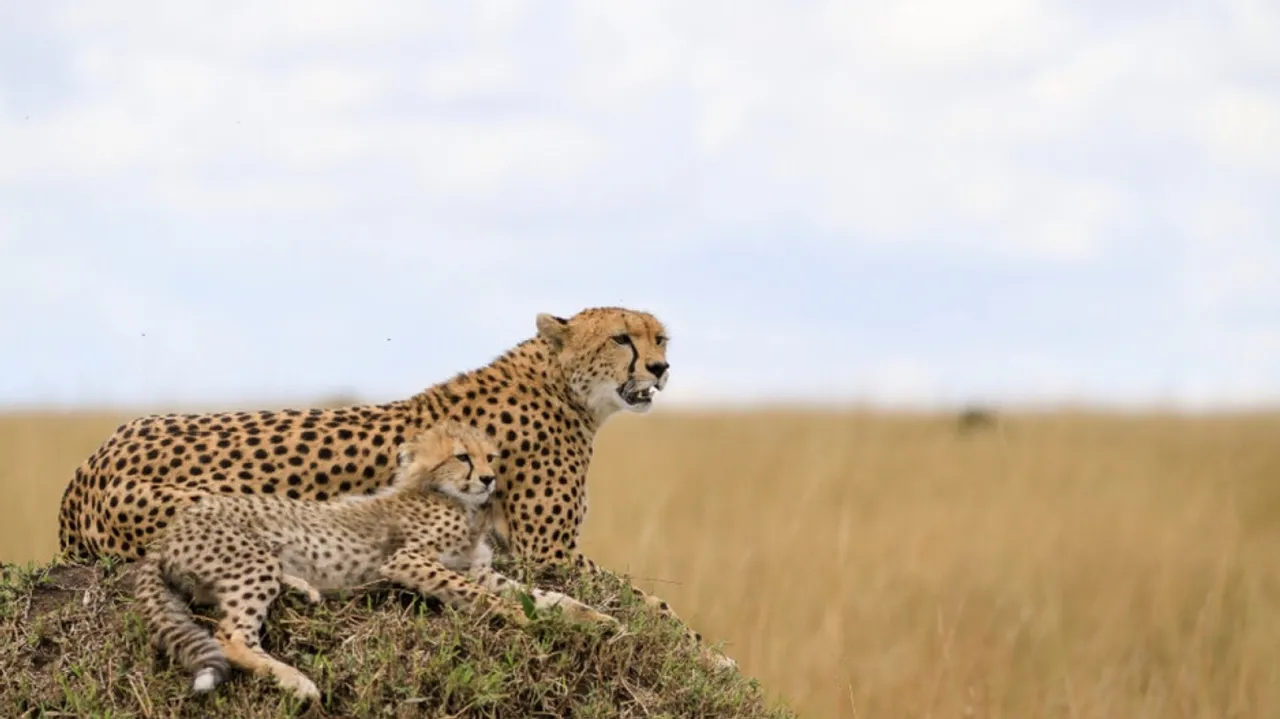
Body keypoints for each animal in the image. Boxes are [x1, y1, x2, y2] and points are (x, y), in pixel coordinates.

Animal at [57, 306, 734, 666]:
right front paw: (710, 653)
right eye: (622, 338)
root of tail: (91, 462)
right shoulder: (551, 553)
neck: (562, 384)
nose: (661, 367)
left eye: (659, 337)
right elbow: (654, 604)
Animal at [134, 420, 619, 700]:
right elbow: (487, 599)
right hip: (249, 563)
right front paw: (524, 622)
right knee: (231, 635)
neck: (453, 499)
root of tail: (169, 532)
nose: (488, 478)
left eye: (490, 456)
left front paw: (597, 618)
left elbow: (544, 596)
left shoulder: (481, 570)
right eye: (462, 457)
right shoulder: (408, 560)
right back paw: (297, 681)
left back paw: (304, 589)